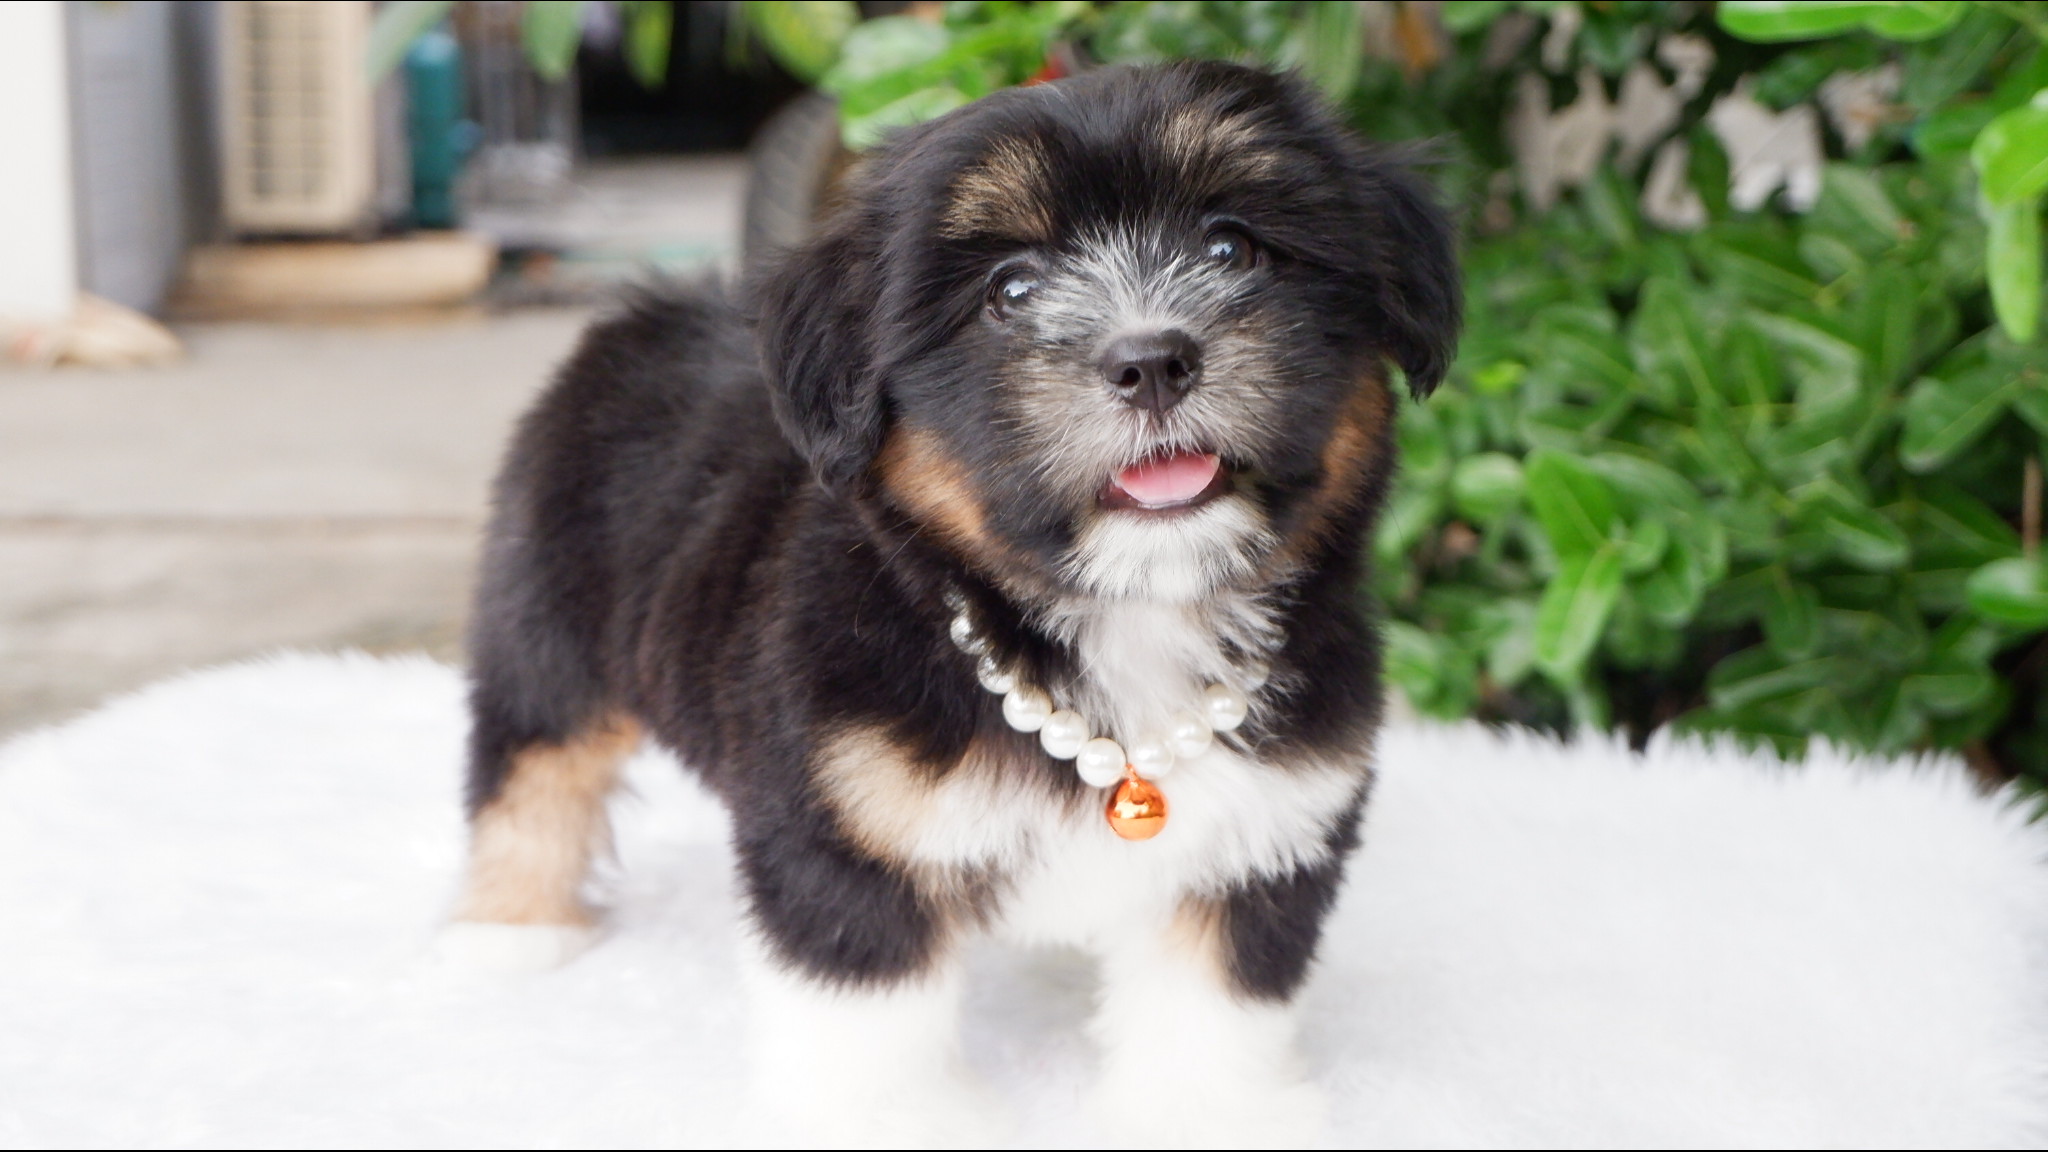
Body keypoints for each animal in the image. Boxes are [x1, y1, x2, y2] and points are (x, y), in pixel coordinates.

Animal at [447, 60, 1459, 1145]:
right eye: (1009, 290)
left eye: (1233, 246)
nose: (1150, 360)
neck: (1118, 621)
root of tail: (647, 314)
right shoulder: (844, 818)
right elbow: (865, 1001)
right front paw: (889, 1116)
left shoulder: (1265, 827)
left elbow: (1216, 993)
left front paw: (1205, 1113)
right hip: (549, 611)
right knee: (535, 754)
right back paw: (511, 929)